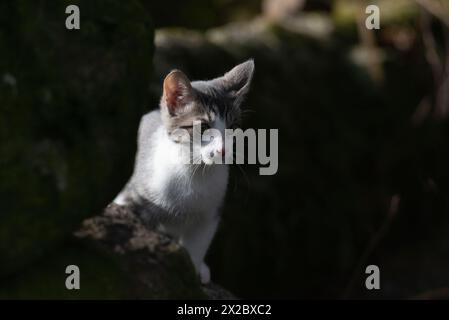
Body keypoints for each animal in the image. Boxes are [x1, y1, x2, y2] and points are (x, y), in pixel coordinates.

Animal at [114, 59, 254, 282]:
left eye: (232, 127)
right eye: (204, 127)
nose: (223, 150)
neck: (195, 170)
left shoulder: (210, 211)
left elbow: (198, 242)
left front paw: (194, 267)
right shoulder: (131, 197)